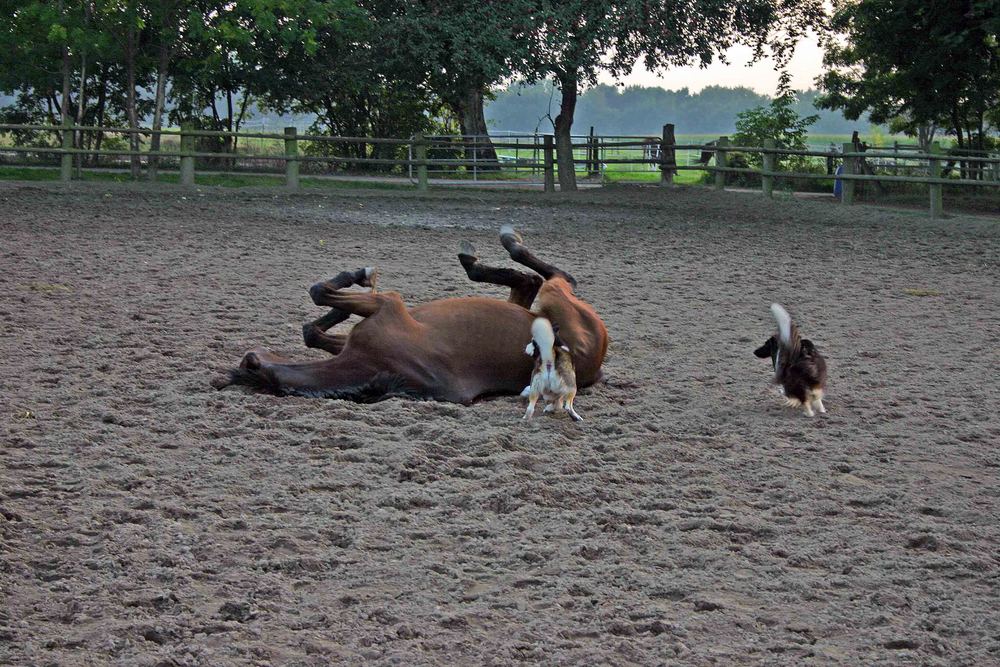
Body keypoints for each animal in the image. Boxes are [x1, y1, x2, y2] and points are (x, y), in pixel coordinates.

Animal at [226, 226, 608, 402]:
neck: (376, 366)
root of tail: (597, 360)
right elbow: (313, 329)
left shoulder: (388, 305)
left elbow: (319, 297)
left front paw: (359, 277)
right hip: (535, 303)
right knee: (531, 281)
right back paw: (484, 254)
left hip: (555, 298)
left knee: (553, 276)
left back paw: (501, 243)